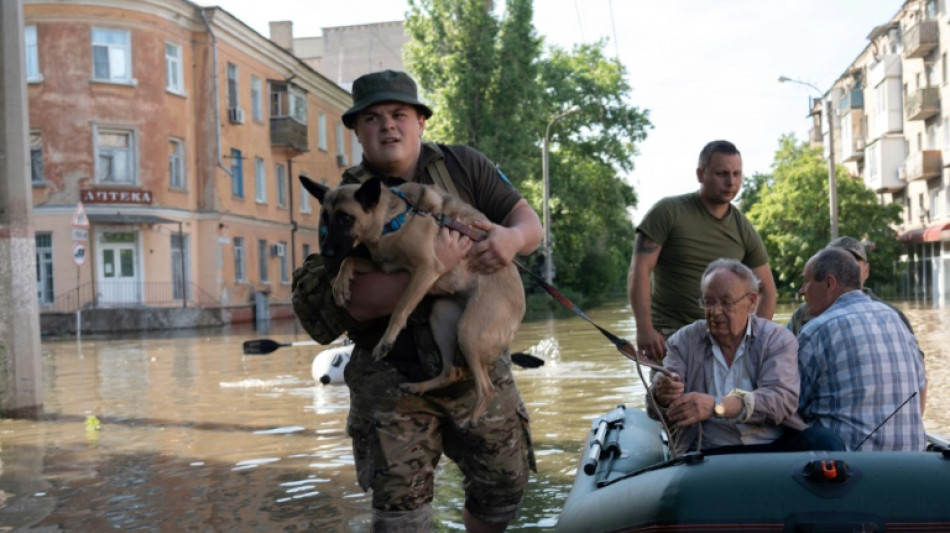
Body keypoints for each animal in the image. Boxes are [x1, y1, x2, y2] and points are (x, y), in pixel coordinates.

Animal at [302, 175, 528, 420]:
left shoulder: (426, 269)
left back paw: (472, 419)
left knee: (486, 388)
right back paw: (419, 386)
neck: (393, 220)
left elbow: (400, 308)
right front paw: (340, 285)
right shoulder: (384, 268)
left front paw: (386, 341)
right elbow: (350, 260)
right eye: (325, 217)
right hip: (442, 318)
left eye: (346, 218)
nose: (326, 253)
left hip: (469, 331)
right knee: (451, 372)